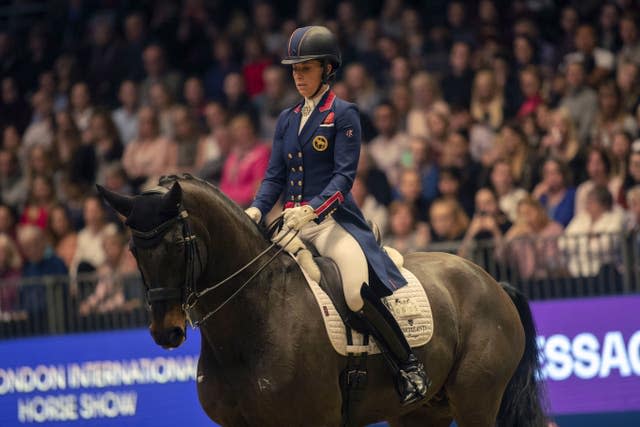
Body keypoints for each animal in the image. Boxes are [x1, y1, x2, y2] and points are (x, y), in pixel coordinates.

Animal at [97, 175, 548, 427]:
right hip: (420, 413)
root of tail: (489, 281)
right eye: (134, 251)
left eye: (177, 244)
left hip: (476, 402)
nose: (167, 332)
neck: (256, 318)